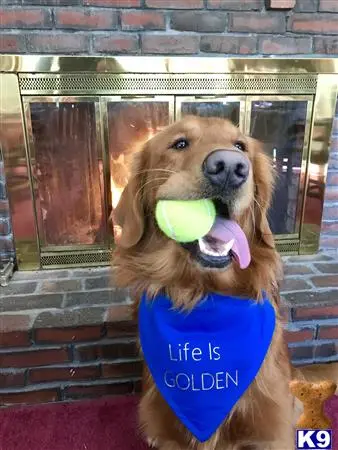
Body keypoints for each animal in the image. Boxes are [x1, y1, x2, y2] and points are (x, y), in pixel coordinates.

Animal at [113, 117, 294, 450]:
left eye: (240, 146)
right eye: (180, 143)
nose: (230, 167)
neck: (201, 294)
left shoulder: (271, 430)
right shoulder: (166, 433)